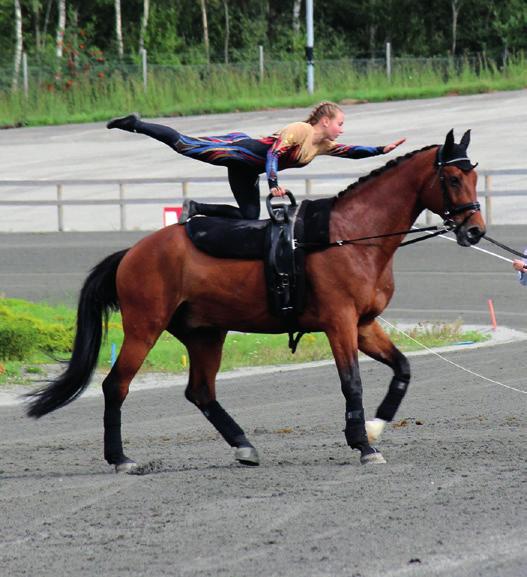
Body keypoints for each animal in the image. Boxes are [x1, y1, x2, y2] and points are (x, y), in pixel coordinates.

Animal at [24, 130, 486, 472]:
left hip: (205, 333)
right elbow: (351, 381)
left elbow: (402, 369)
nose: (475, 230)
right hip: (144, 328)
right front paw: (363, 444)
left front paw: (374, 428)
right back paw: (120, 458)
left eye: (474, 177)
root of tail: (134, 252)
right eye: (452, 179)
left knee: (200, 392)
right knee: (115, 385)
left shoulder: (364, 324)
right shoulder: (339, 323)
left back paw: (243, 445)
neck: (348, 235)